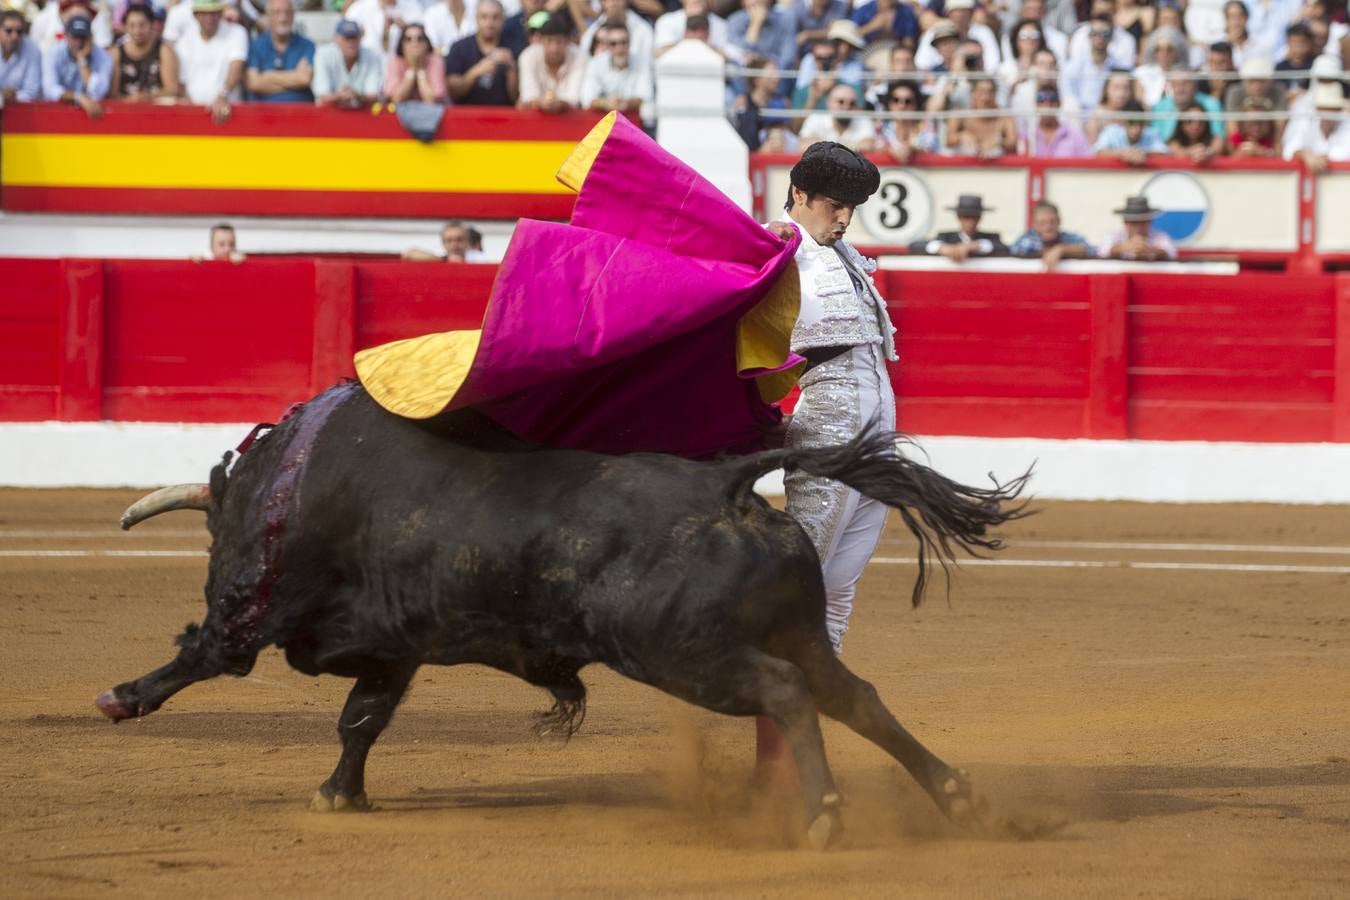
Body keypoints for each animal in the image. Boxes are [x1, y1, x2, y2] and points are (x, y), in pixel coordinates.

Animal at [99, 383, 1026, 847]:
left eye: (219, 534)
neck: (289, 479)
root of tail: (725, 486)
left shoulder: (255, 613)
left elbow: (204, 653)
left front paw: (121, 696)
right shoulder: (395, 650)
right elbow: (362, 721)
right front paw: (339, 796)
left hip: (684, 654)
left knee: (788, 694)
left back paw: (824, 816)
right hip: (790, 628)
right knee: (852, 695)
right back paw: (963, 803)